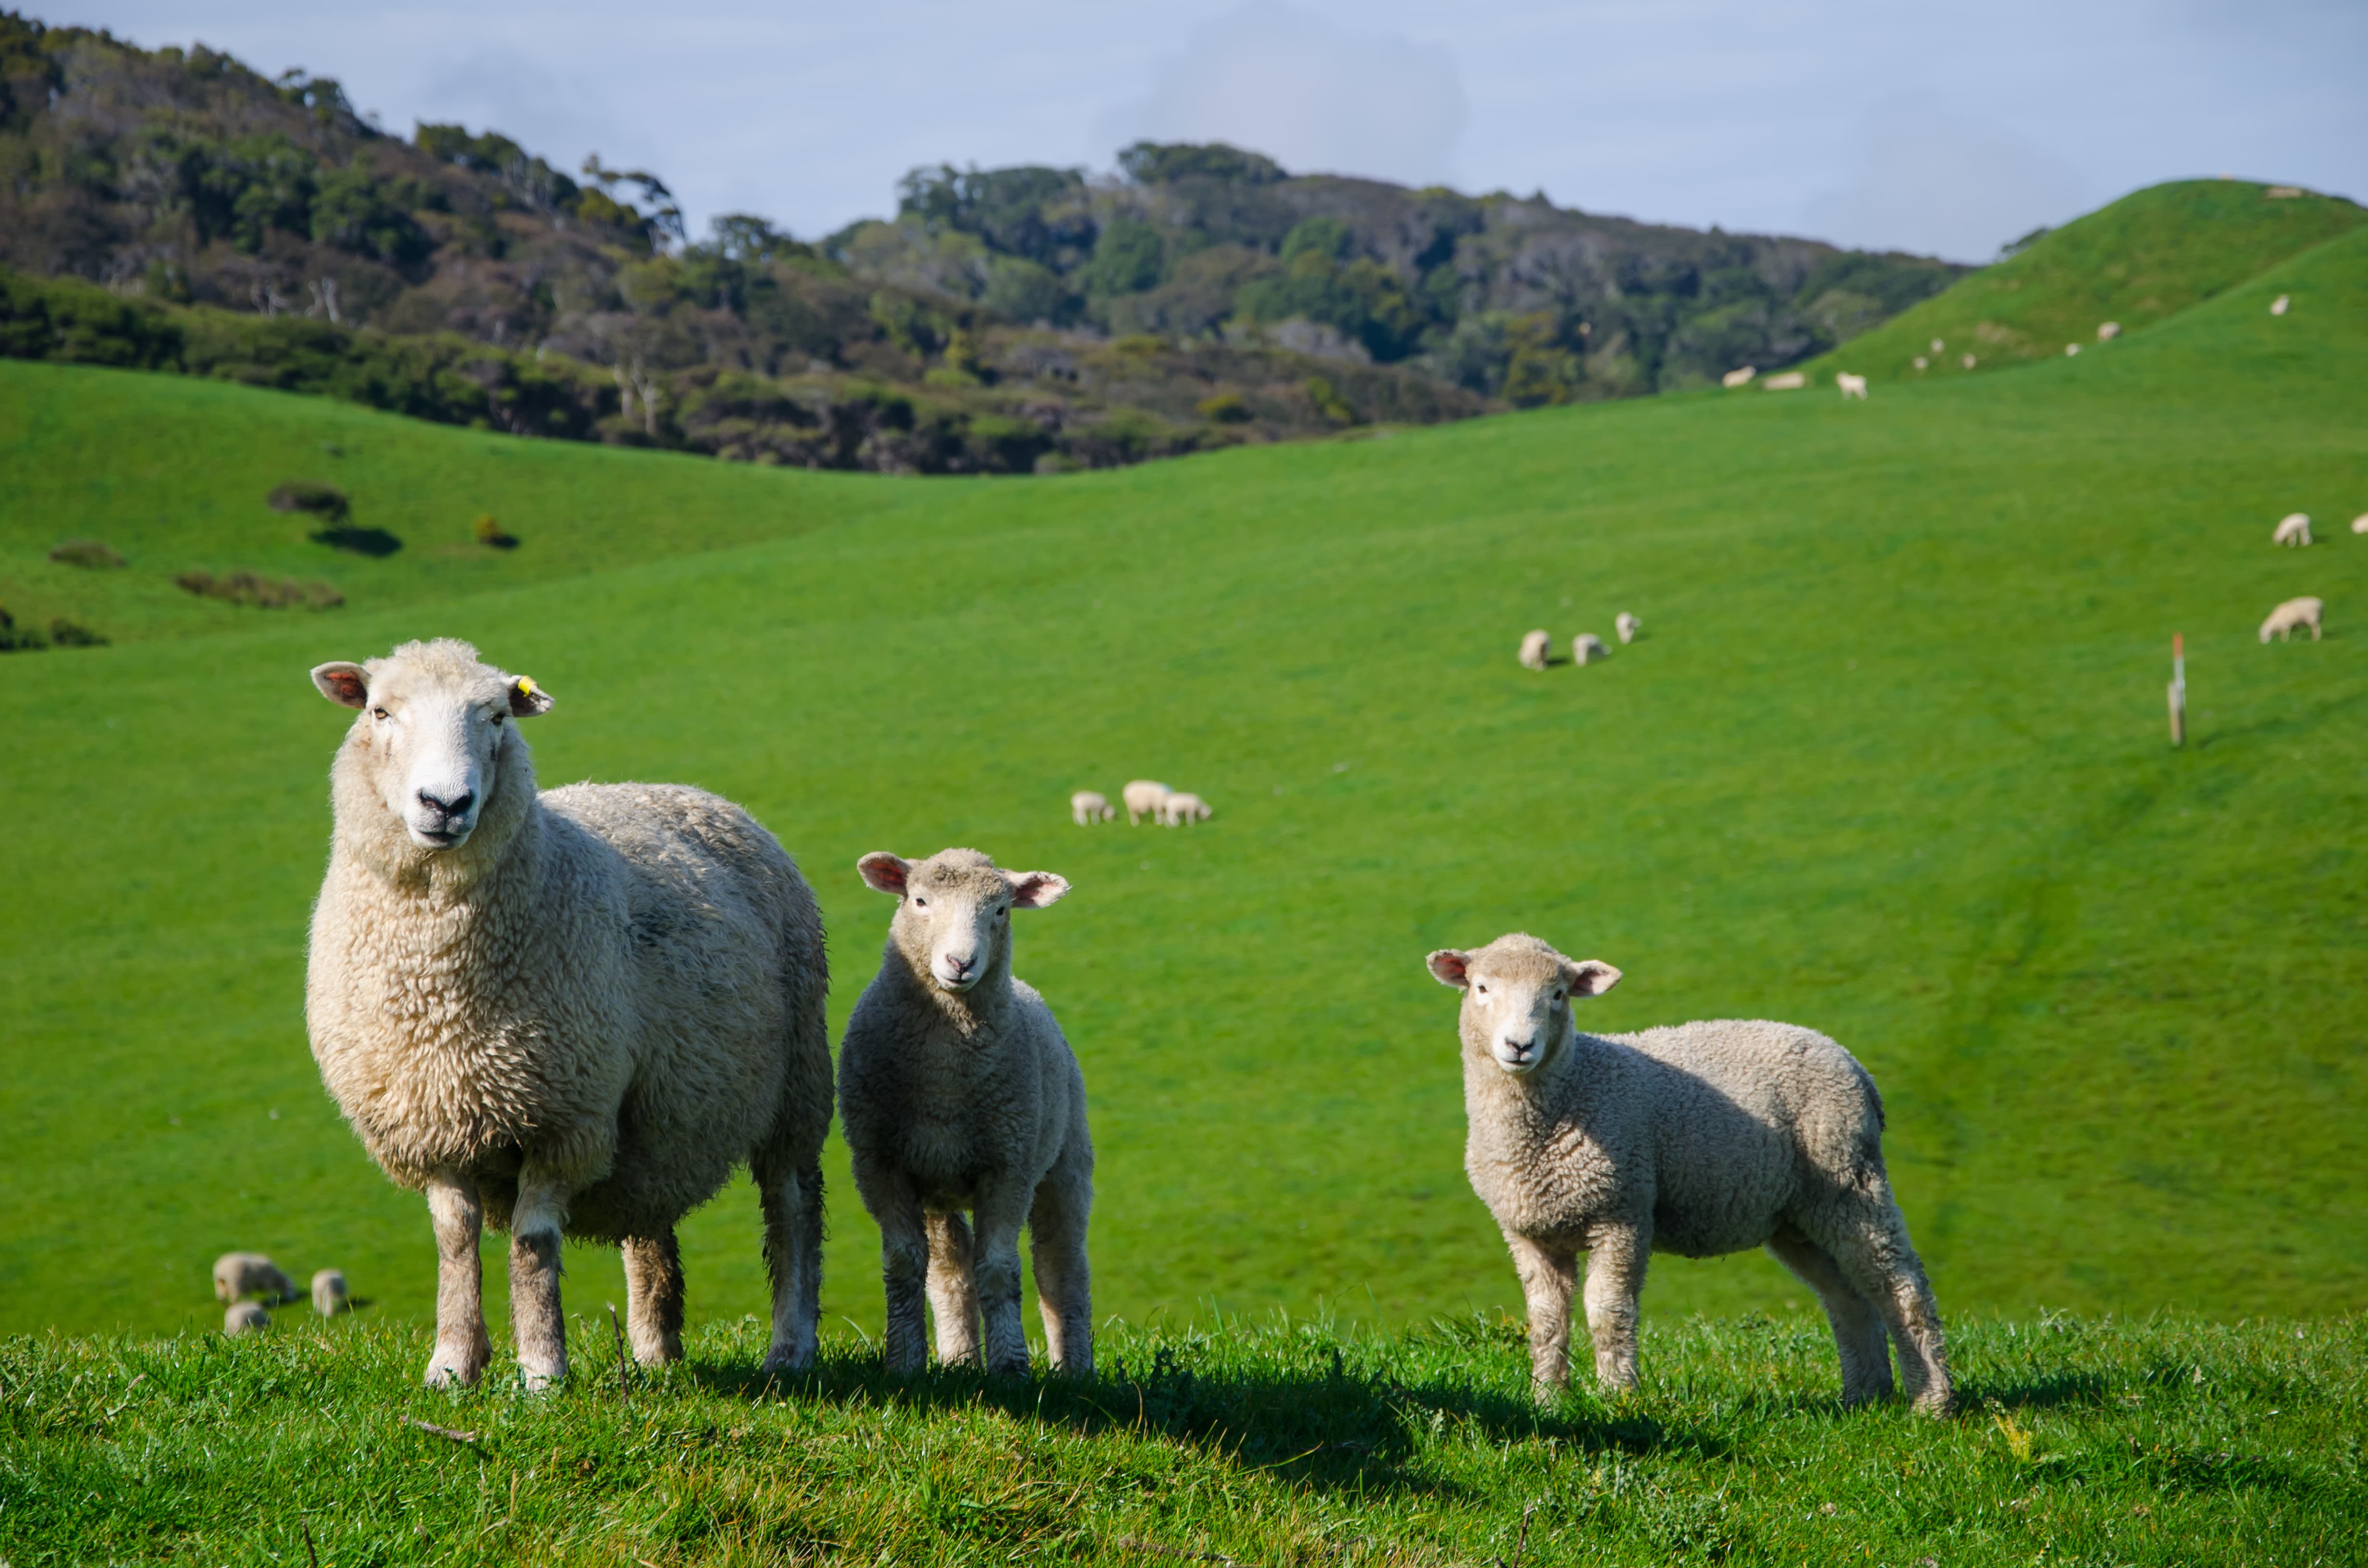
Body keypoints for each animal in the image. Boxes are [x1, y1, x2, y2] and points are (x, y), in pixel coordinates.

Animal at [212, 1260, 295, 1307]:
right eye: (291, 1289)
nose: (293, 1299)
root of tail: (219, 1270)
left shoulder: (248, 1286)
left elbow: (248, 1295)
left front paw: (249, 1303)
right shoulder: (267, 1282)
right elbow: (270, 1294)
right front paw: (273, 1304)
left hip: (221, 1284)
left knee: (220, 1297)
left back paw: (227, 1308)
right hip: (234, 1282)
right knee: (233, 1298)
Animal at [303, 639, 833, 1393]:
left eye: (497, 716)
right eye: (380, 711)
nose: (446, 804)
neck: (439, 987)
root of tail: (694, 794)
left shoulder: (563, 1117)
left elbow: (532, 1244)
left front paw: (543, 1372)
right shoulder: (430, 1120)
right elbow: (455, 1241)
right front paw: (453, 1364)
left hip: (797, 1084)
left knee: (792, 1210)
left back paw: (790, 1347)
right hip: (656, 1120)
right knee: (651, 1227)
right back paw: (655, 1352)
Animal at [838, 852, 1094, 1383]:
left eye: (1000, 910)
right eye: (919, 901)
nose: (961, 964)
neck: (944, 1084)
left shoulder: (1009, 1166)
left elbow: (998, 1268)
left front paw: (1011, 1368)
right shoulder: (880, 1164)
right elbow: (905, 1264)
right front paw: (903, 1363)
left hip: (1065, 1161)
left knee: (1061, 1267)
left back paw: (1075, 1369)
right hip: (939, 1185)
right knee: (950, 1269)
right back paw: (958, 1357)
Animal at [1420, 938, 1941, 1421]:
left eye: (1558, 994)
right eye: (1481, 988)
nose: (1519, 1046)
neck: (1568, 1090)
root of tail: (1852, 1064)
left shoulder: (1623, 1212)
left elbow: (1608, 1312)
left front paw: (1617, 1400)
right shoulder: (1529, 1232)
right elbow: (1546, 1321)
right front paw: (1548, 1403)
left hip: (1848, 1177)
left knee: (1901, 1286)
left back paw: (1931, 1403)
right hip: (1798, 1215)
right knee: (1849, 1297)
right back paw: (1865, 1398)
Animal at [2254, 601, 2330, 649]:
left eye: (2263, 636)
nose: (2264, 644)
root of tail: (2320, 604)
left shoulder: (2285, 626)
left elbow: (2285, 634)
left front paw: (2284, 641)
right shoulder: (2294, 625)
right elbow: (2296, 632)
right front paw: (2297, 639)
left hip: (2313, 619)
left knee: (2316, 629)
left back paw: (2316, 638)